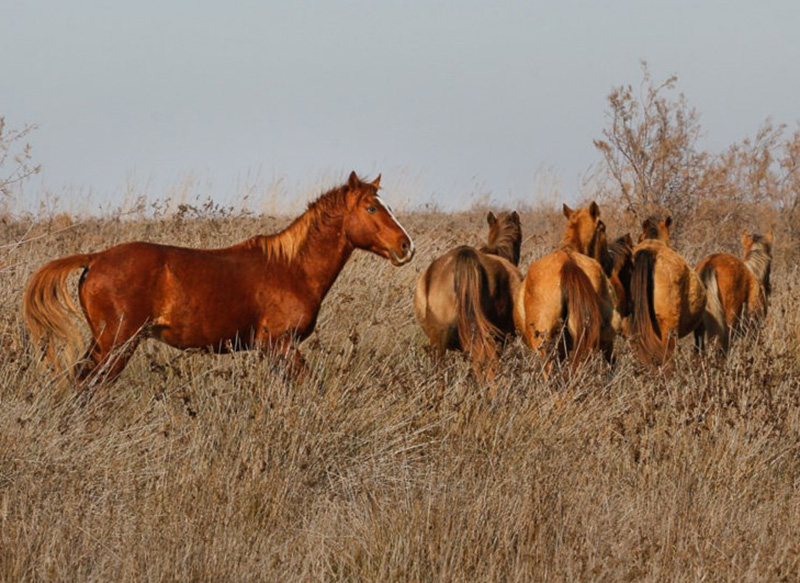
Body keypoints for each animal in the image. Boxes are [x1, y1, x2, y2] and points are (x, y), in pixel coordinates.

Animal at [22, 172, 416, 384]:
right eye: (371, 208)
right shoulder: (280, 345)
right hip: (117, 344)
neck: (292, 268)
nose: (406, 246)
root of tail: (96, 258)